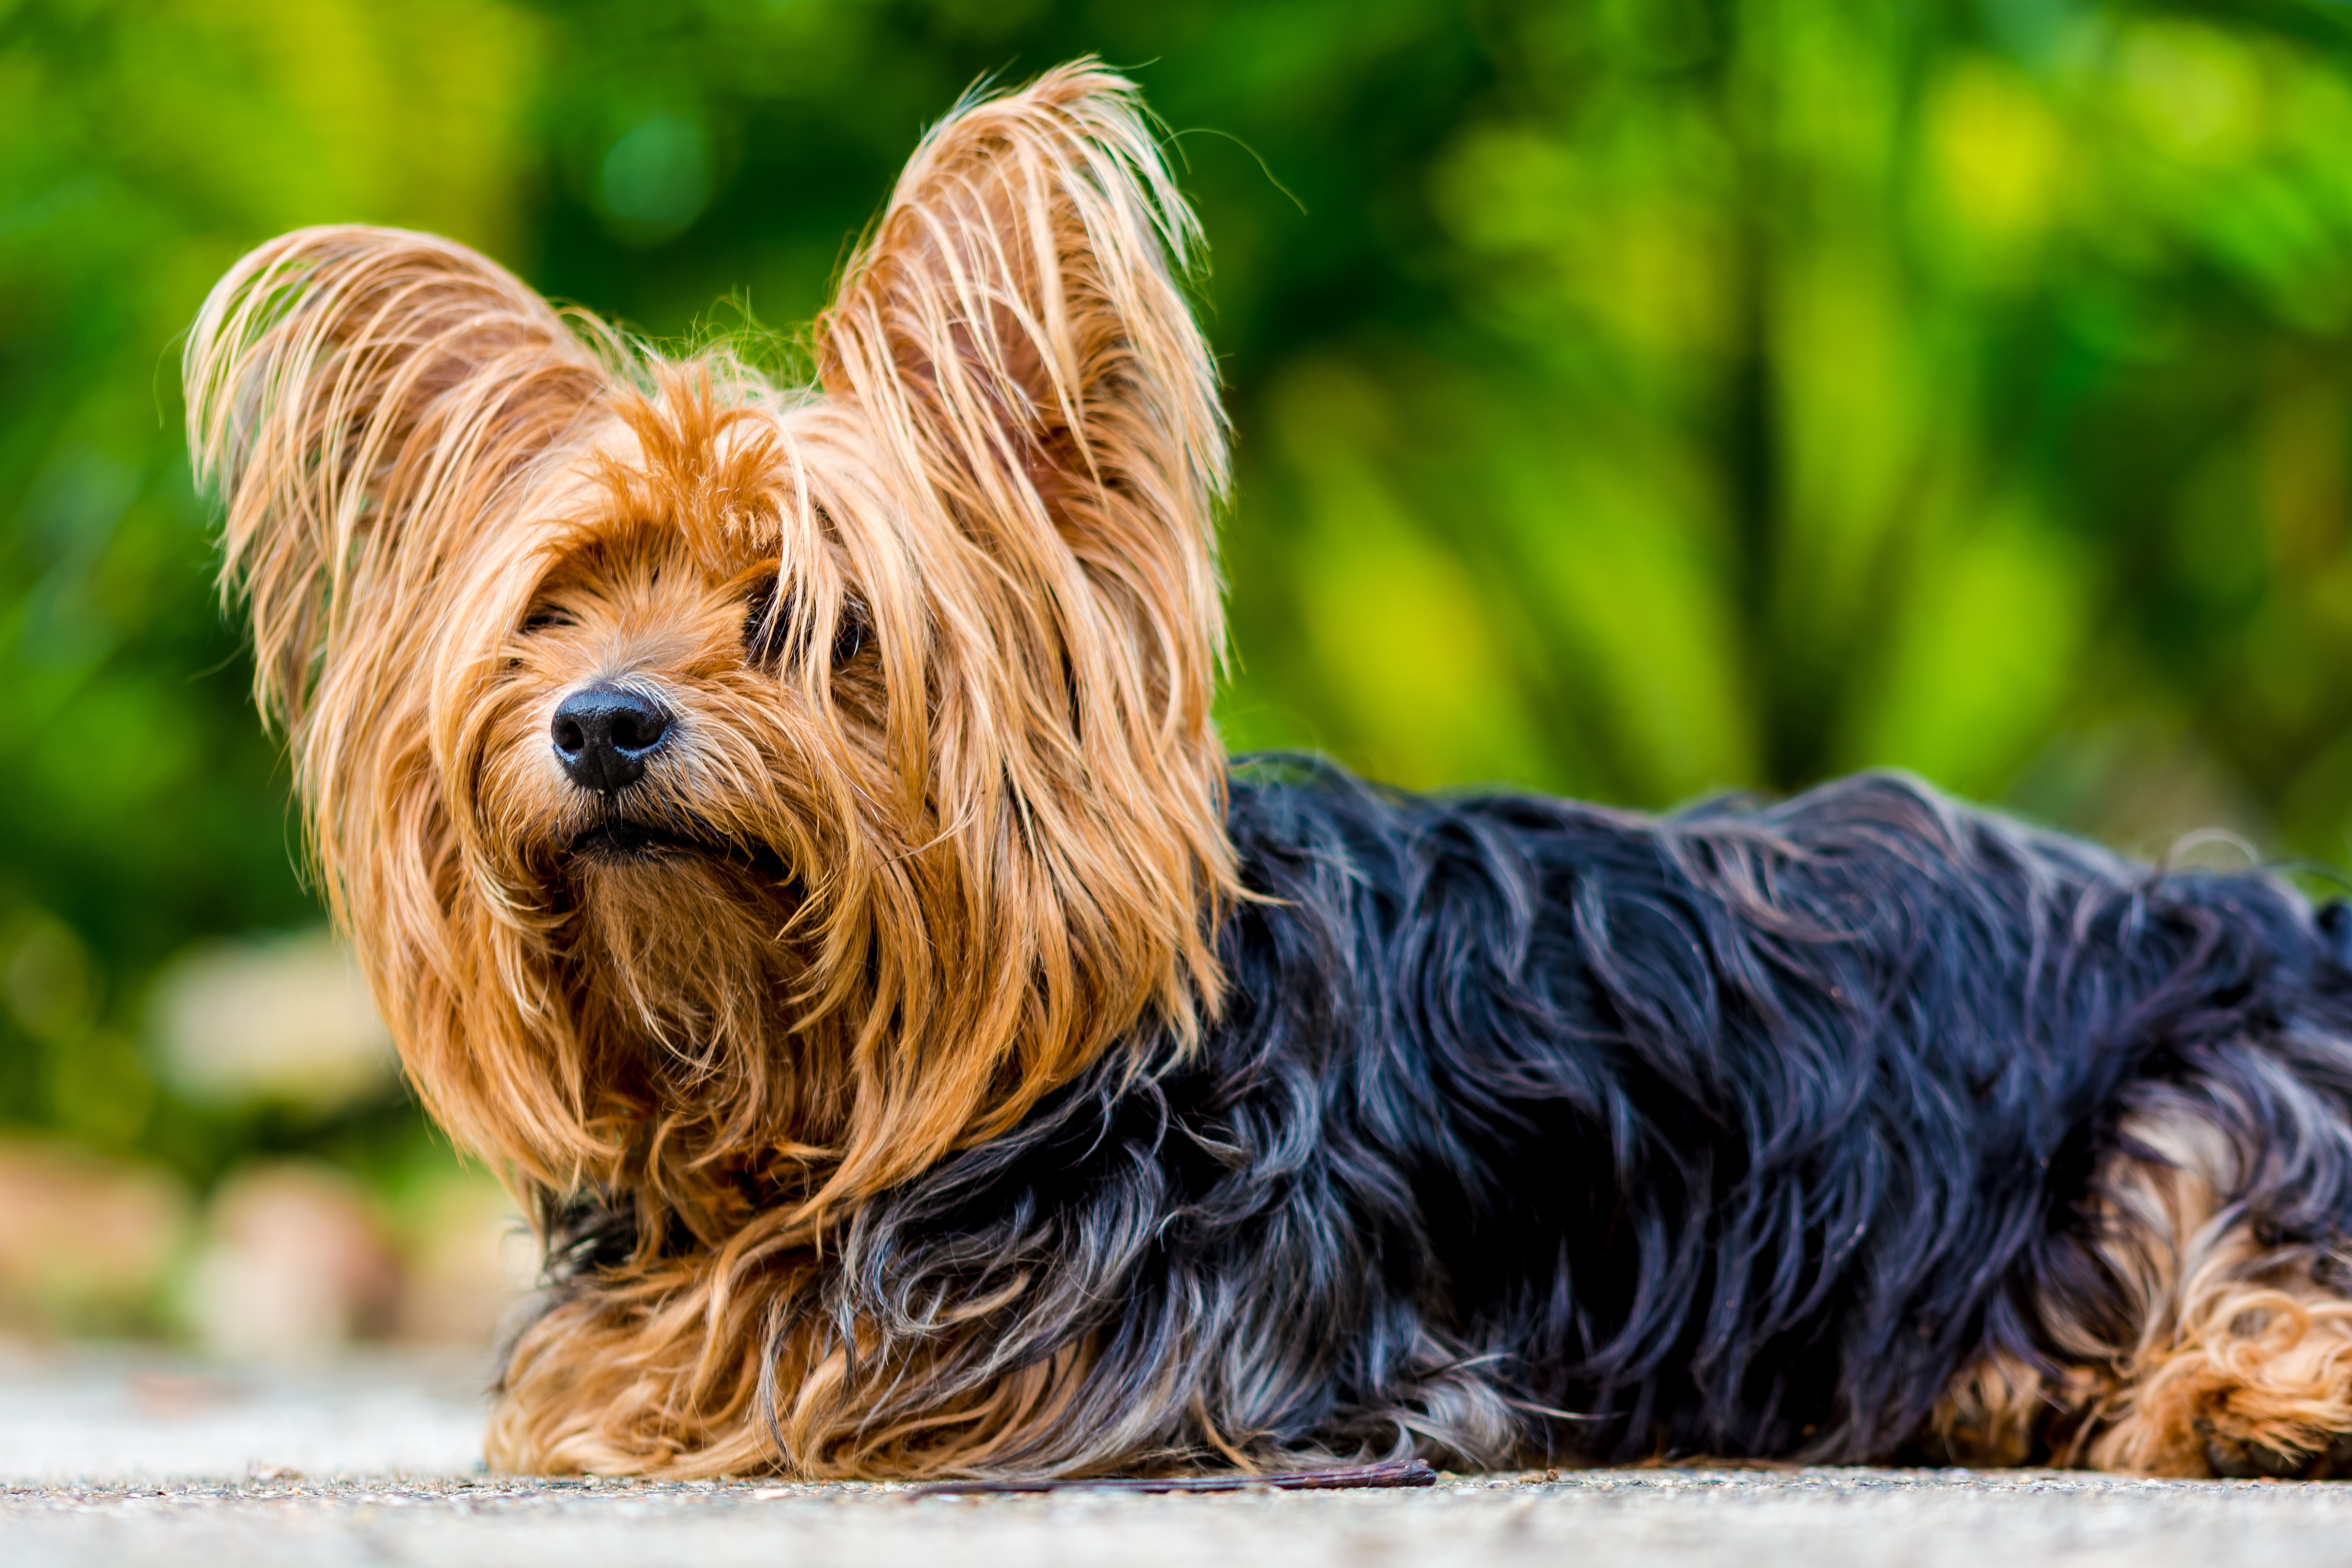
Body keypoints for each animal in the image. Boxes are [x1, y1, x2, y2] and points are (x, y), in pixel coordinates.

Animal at [183, 64, 2352, 1485]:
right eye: (551, 613)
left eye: (803, 610)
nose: (602, 723)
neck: (837, 1094)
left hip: (2189, 1094)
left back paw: (2250, 1399)